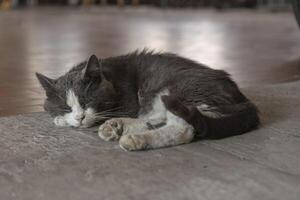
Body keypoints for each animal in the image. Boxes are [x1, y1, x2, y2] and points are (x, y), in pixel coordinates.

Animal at [35, 49, 260, 150]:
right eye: (66, 106)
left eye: (87, 101)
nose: (79, 117)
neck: (110, 77)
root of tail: (242, 98)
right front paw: (61, 118)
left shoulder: (128, 103)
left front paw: (67, 121)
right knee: (156, 119)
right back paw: (117, 127)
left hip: (180, 90)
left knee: (182, 128)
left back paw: (135, 139)